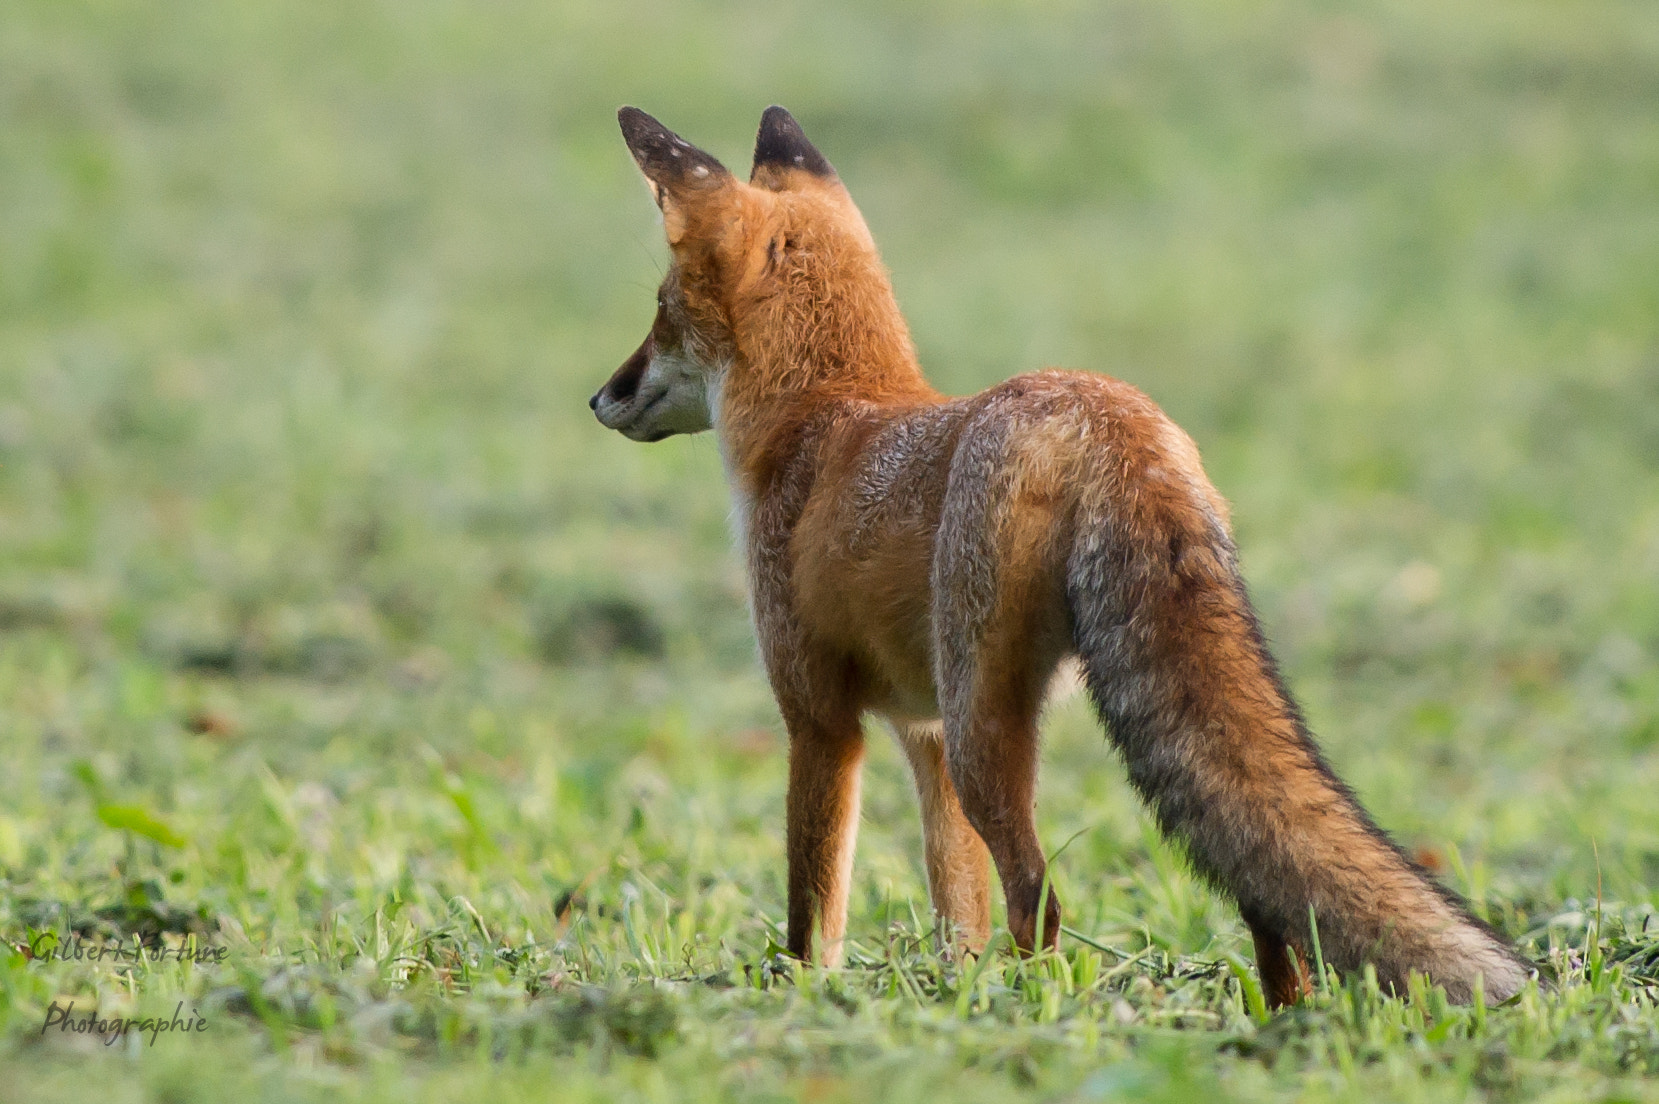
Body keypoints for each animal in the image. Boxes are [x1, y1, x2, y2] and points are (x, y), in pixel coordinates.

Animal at [589, 105, 1533, 1008]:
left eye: (660, 309)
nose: (599, 397)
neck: (825, 414)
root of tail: (1112, 420)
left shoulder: (820, 719)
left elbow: (814, 912)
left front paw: (810, 998)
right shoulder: (922, 731)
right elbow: (954, 911)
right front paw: (950, 992)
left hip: (982, 729)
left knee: (1038, 899)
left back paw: (1035, 1009)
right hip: (994, 724)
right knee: (1260, 896)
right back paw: (1280, 1019)